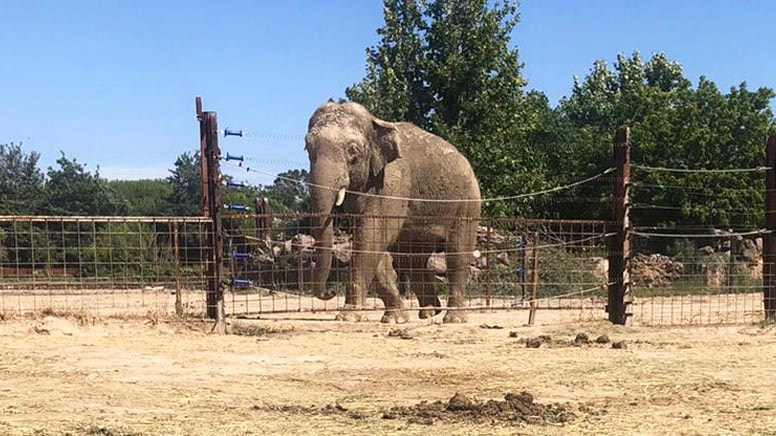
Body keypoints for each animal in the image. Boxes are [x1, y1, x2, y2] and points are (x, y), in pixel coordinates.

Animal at [305, 101, 481, 323]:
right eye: (307, 147)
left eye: (352, 150)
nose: (330, 292)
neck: (376, 122)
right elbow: (374, 242)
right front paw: (395, 318)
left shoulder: (393, 183)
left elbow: (372, 237)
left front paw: (347, 316)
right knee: (412, 259)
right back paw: (429, 312)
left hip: (467, 203)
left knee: (457, 254)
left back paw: (453, 319)